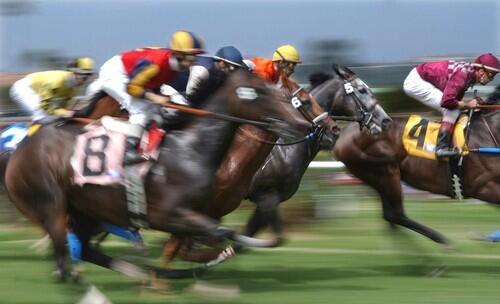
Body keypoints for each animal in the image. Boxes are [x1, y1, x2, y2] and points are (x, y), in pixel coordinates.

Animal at [3, 71, 310, 280]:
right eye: (259, 92)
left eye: (283, 94)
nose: (302, 125)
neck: (189, 148)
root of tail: (20, 148)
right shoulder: (167, 214)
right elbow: (220, 234)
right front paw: (216, 259)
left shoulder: (202, 210)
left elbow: (221, 234)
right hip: (52, 202)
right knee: (67, 246)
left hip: (87, 209)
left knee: (86, 248)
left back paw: (139, 272)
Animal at [330, 85, 500, 245]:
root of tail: (343, 134)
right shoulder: (483, 186)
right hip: (386, 173)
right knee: (395, 214)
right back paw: (439, 242)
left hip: (378, 180)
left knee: (390, 218)